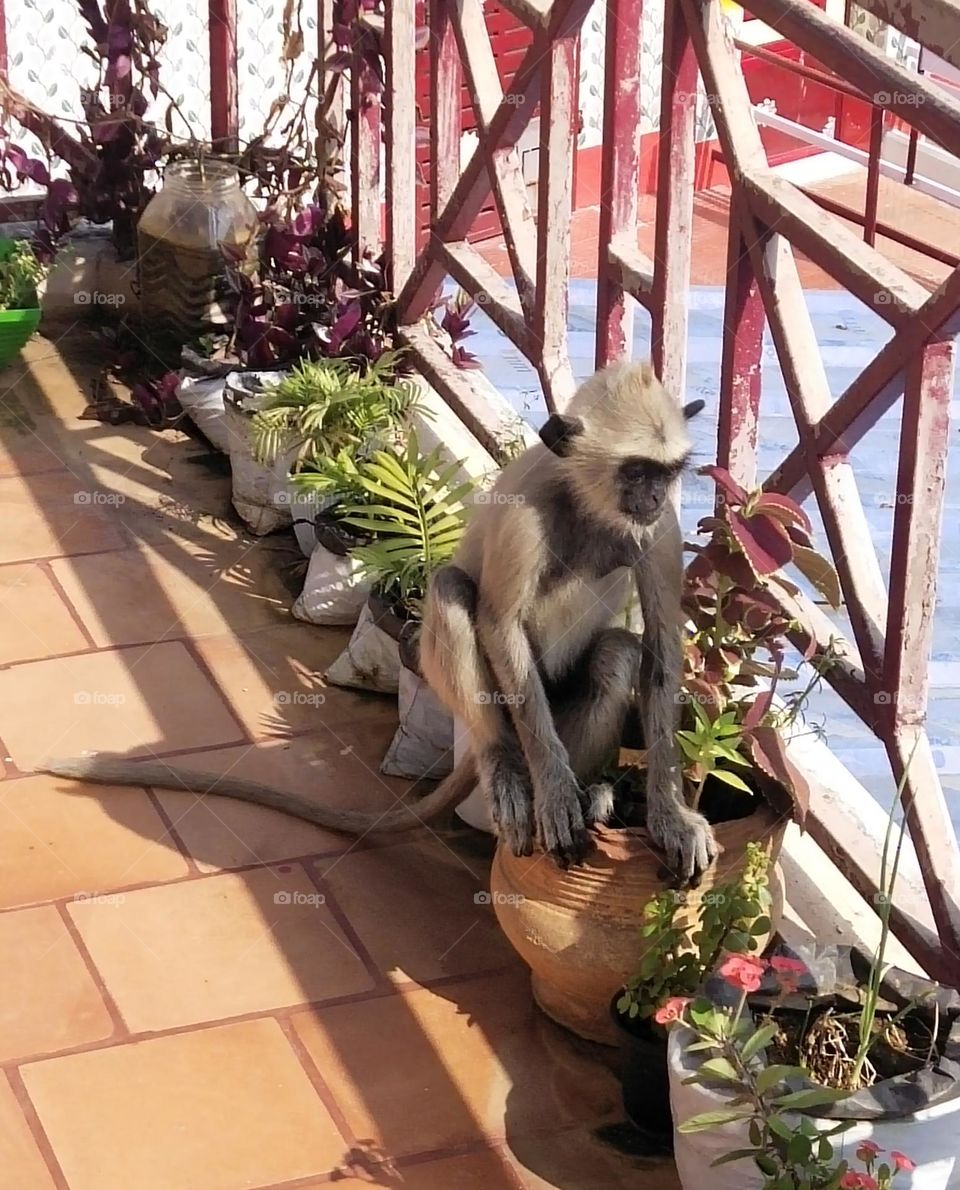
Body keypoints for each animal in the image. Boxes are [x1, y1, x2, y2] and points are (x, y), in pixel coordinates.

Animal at [40, 360, 716, 882]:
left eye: (666, 474)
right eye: (636, 471)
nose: (651, 497)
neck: (586, 504)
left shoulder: (659, 530)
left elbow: (662, 650)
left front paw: (669, 817)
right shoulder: (528, 506)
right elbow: (499, 623)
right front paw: (554, 795)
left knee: (616, 655)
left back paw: (594, 789)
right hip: (496, 701)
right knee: (452, 590)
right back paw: (513, 769)